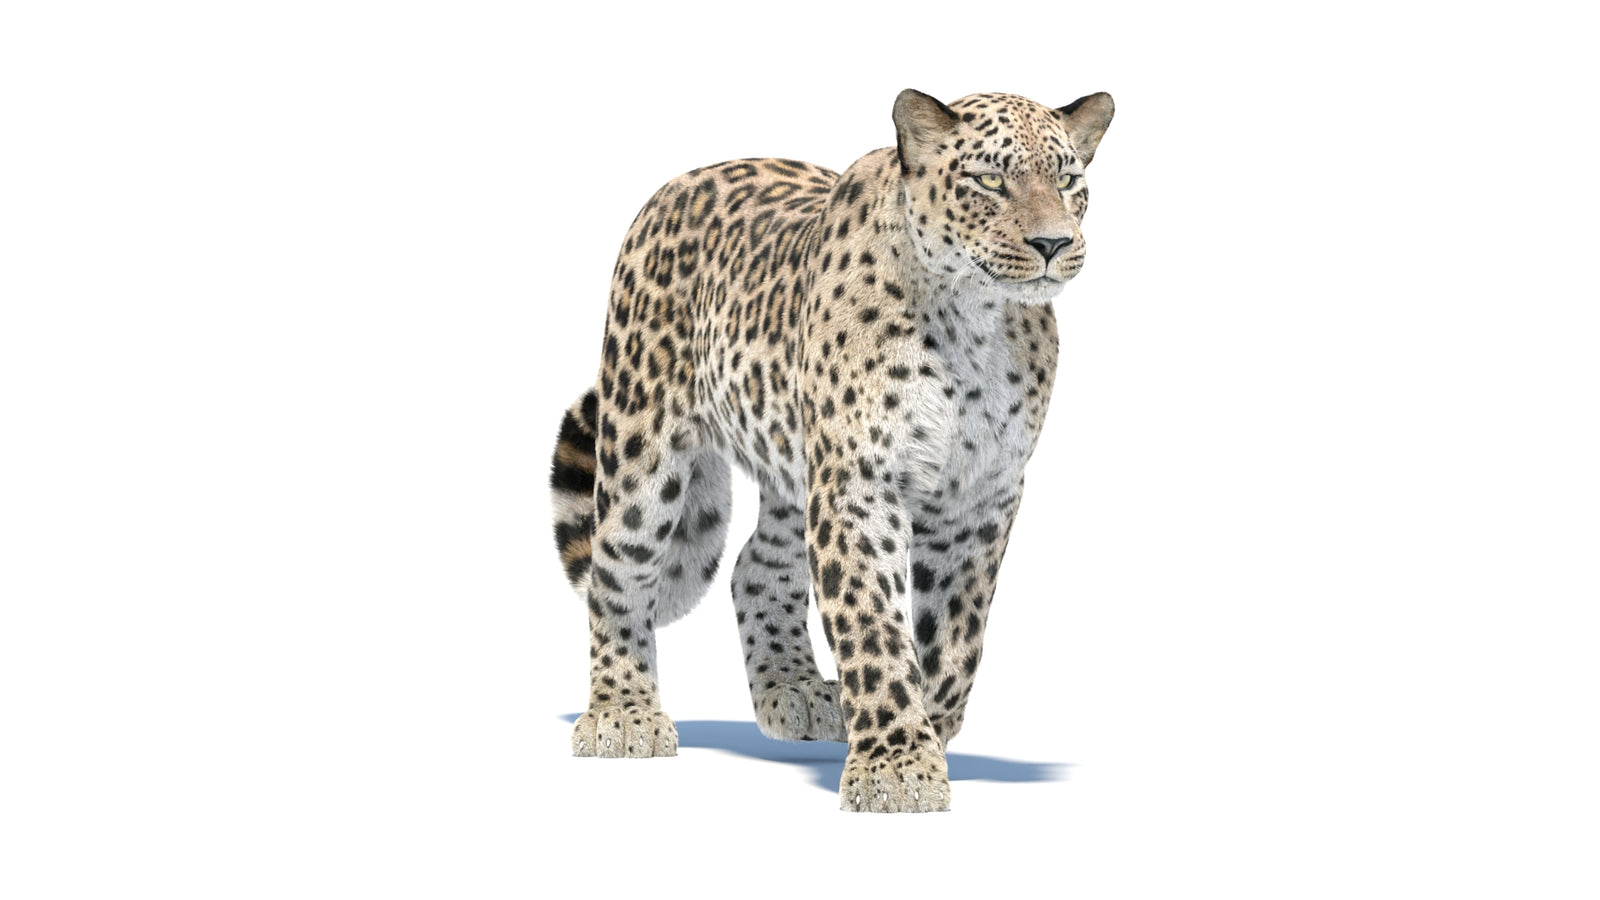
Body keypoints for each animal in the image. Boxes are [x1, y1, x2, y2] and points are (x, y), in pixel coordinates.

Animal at [548, 88, 1113, 812]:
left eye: (1069, 182)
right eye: (990, 181)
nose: (1053, 243)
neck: (974, 320)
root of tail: (679, 181)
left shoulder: (982, 495)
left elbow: (956, 636)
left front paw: (926, 732)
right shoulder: (859, 485)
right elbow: (872, 622)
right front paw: (896, 767)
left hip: (792, 465)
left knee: (755, 566)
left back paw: (795, 690)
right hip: (645, 446)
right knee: (616, 570)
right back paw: (622, 714)